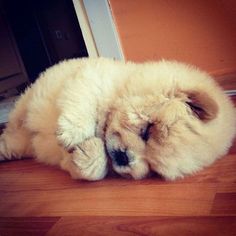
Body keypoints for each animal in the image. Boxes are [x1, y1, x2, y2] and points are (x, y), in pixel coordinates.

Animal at [0, 58, 236, 180]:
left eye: (153, 168)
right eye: (147, 131)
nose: (125, 158)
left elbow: (91, 168)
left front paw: (86, 152)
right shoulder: (91, 77)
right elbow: (82, 100)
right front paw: (71, 134)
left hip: (19, 143)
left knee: (7, 143)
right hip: (25, 106)